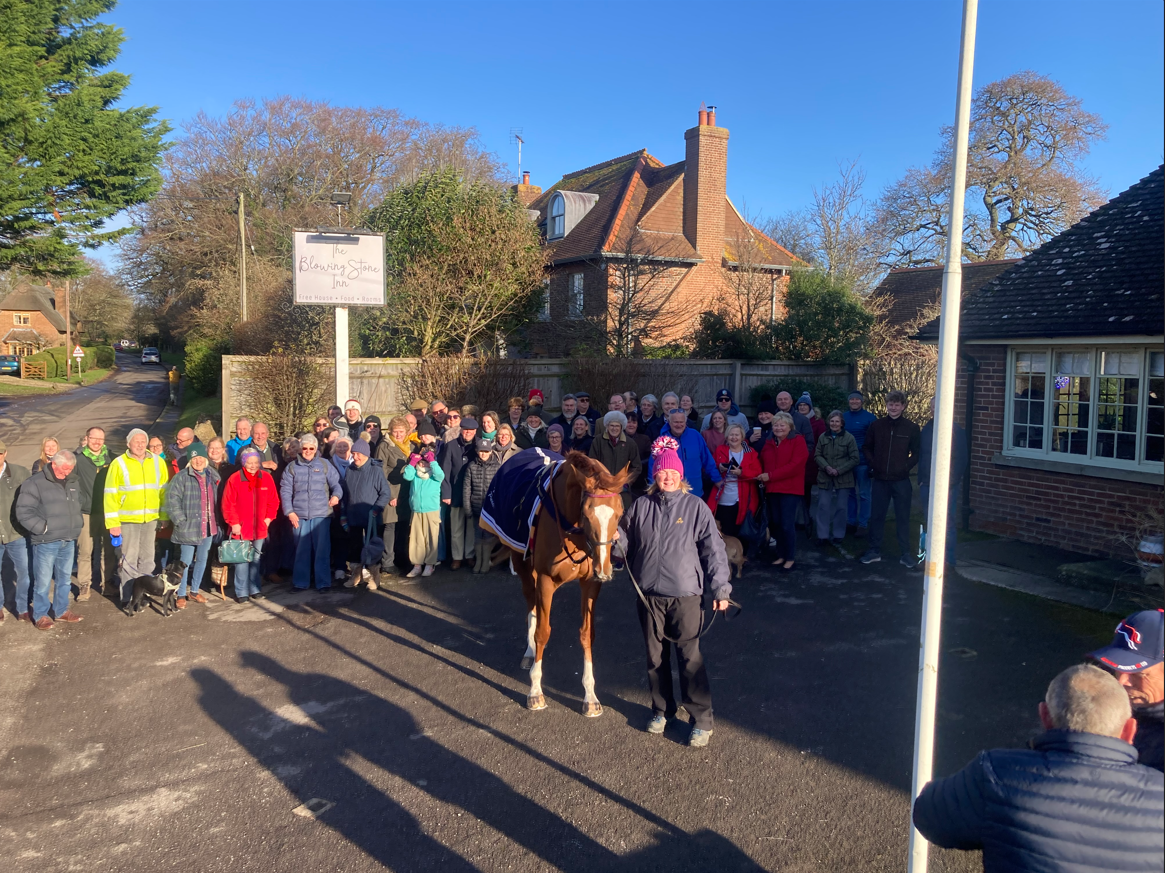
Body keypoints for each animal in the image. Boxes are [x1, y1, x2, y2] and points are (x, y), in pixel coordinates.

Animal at [514, 449, 633, 713]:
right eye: (587, 513)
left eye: (619, 512)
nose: (604, 569)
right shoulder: (545, 580)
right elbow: (542, 632)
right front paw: (535, 691)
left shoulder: (590, 583)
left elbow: (587, 634)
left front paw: (590, 696)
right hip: (521, 561)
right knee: (529, 602)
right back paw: (528, 651)